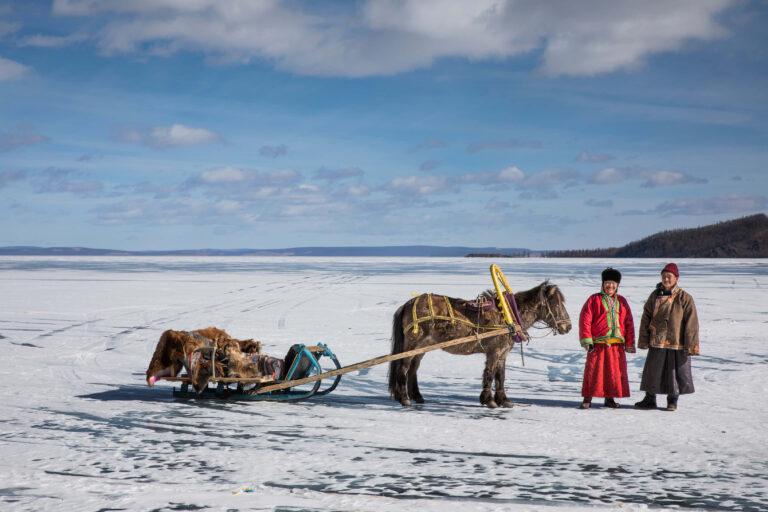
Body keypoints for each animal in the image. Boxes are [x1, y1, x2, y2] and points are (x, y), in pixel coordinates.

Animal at [388, 281, 571, 408]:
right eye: (556, 304)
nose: (568, 327)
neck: (508, 315)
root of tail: (408, 303)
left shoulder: (503, 353)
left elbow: (500, 376)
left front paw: (504, 400)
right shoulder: (494, 351)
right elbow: (489, 374)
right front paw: (489, 400)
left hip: (422, 347)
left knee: (413, 369)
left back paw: (417, 397)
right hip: (412, 344)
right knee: (403, 368)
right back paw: (404, 398)